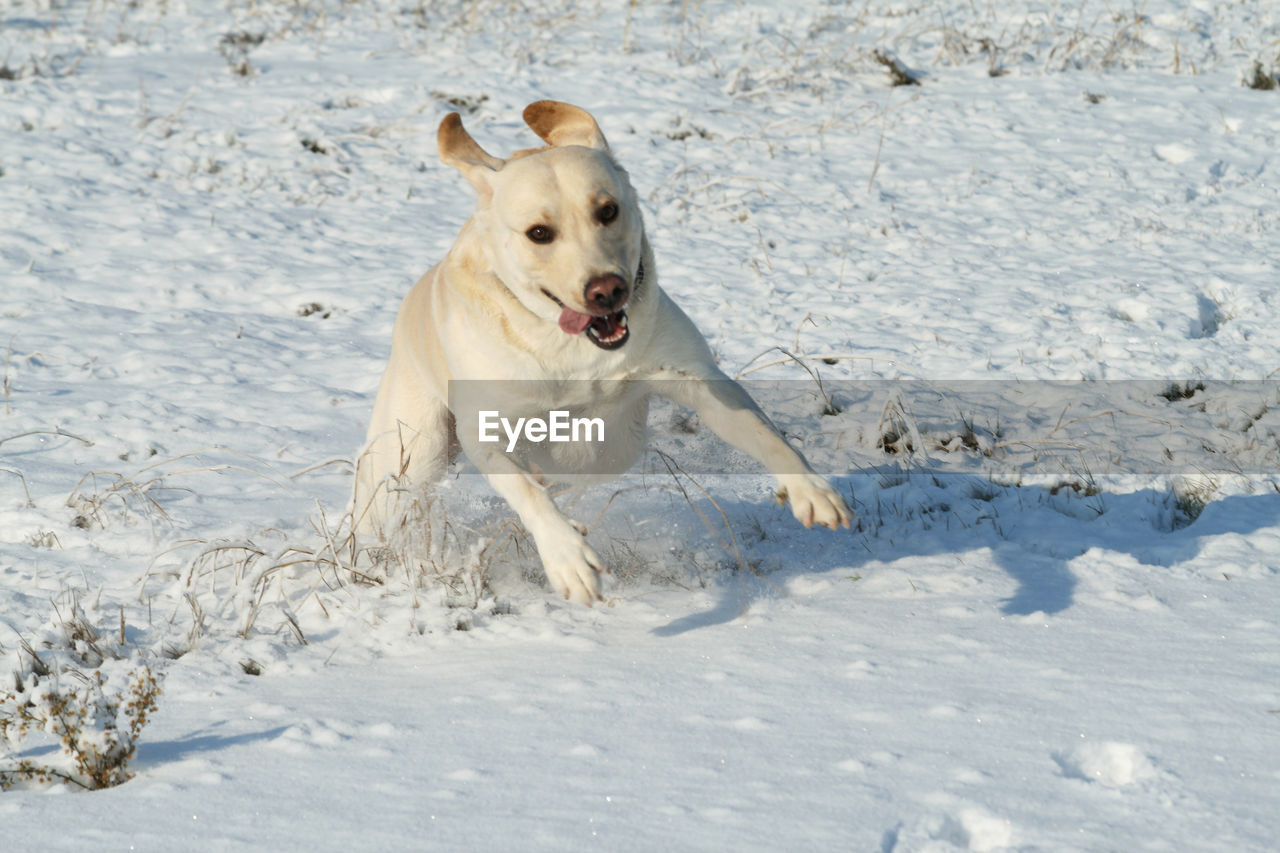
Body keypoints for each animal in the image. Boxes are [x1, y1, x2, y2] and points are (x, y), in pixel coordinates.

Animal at [353, 99, 849, 601]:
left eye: (608, 210)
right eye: (538, 233)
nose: (606, 290)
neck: (570, 347)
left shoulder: (695, 378)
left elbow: (760, 430)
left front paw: (810, 489)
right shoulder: (488, 433)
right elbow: (526, 491)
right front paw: (568, 557)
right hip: (416, 451)